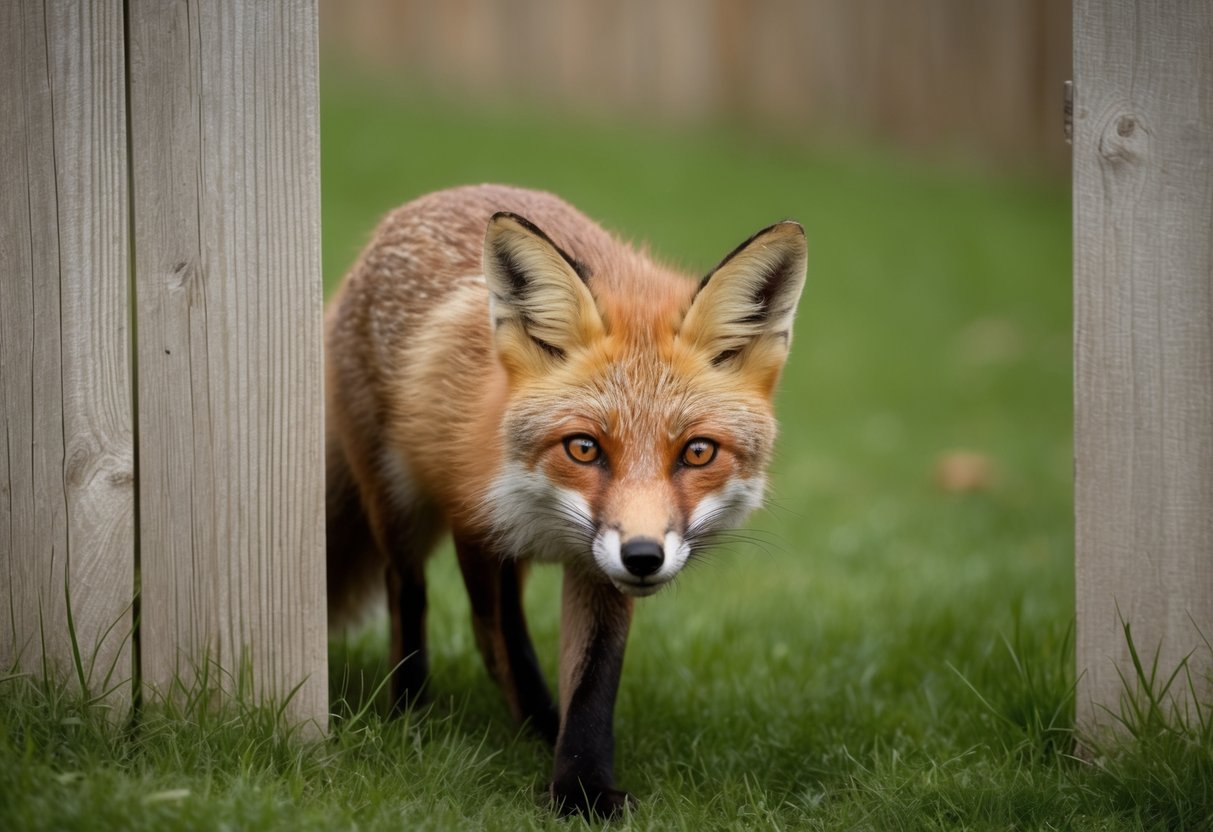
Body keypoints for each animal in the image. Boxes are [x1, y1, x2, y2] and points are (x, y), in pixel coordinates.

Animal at [325, 184, 806, 816]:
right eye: (583, 447)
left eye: (698, 452)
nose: (644, 557)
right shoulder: (477, 525)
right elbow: (508, 639)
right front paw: (549, 755)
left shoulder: (600, 566)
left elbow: (592, 677)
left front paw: (581, 784)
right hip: (396, 503)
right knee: (409, 594)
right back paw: (412, 709)